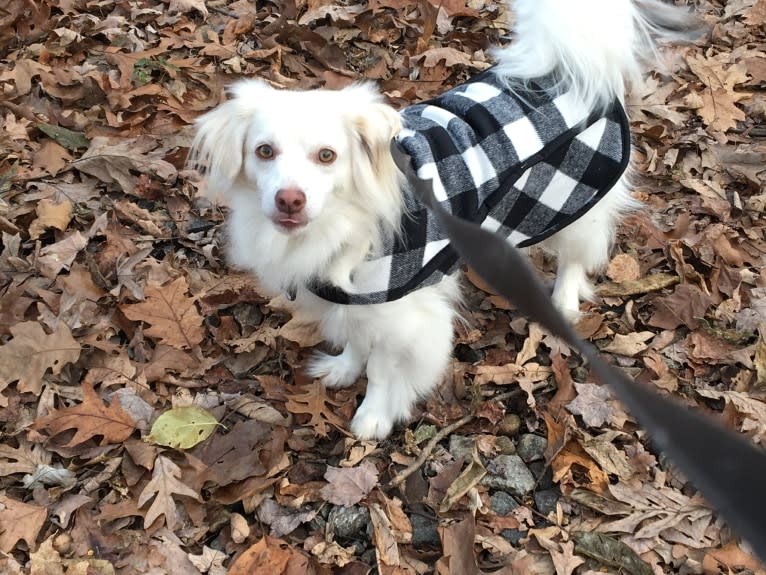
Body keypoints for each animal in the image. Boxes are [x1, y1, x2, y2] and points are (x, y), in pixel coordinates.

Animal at [190, 1, 696, 440]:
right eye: (264, 152)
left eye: (327, 156)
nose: (289, 200)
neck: (346, 223)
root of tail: (561, 70)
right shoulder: (360, 300)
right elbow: (356, 340)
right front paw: (343, 369)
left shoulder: (405, 316)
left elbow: (382, 370)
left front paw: (374, 415)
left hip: (570, 200)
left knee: (576, 254)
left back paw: (565, 301)